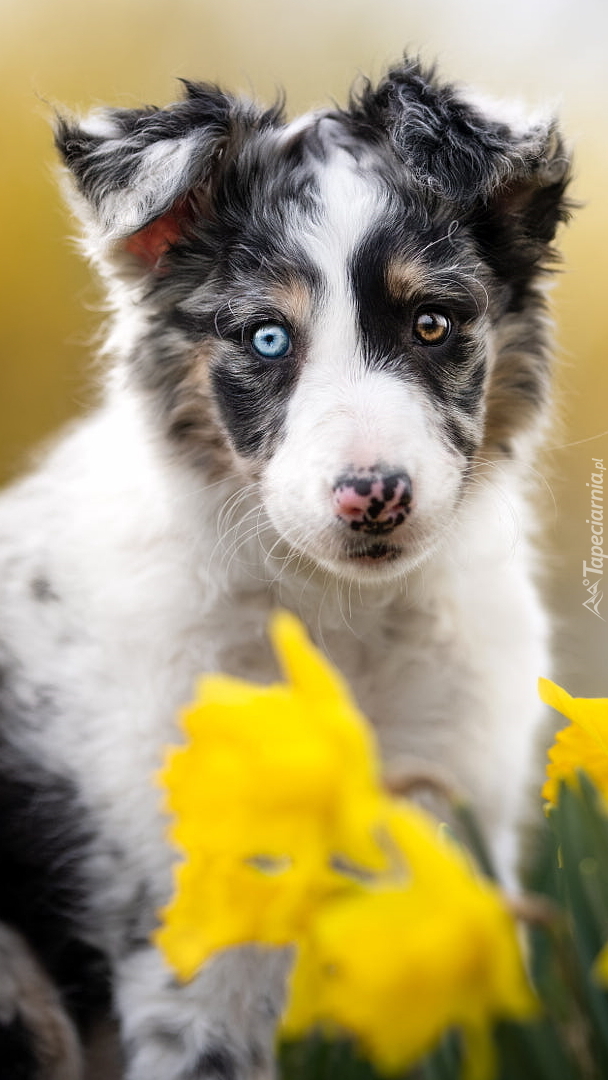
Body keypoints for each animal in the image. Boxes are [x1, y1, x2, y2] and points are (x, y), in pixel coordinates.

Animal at [0, 56, 570, 1080]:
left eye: (433, 324)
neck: (338, 619)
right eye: (268, 338)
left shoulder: (450, 852)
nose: (372, 496)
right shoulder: (202, 934)